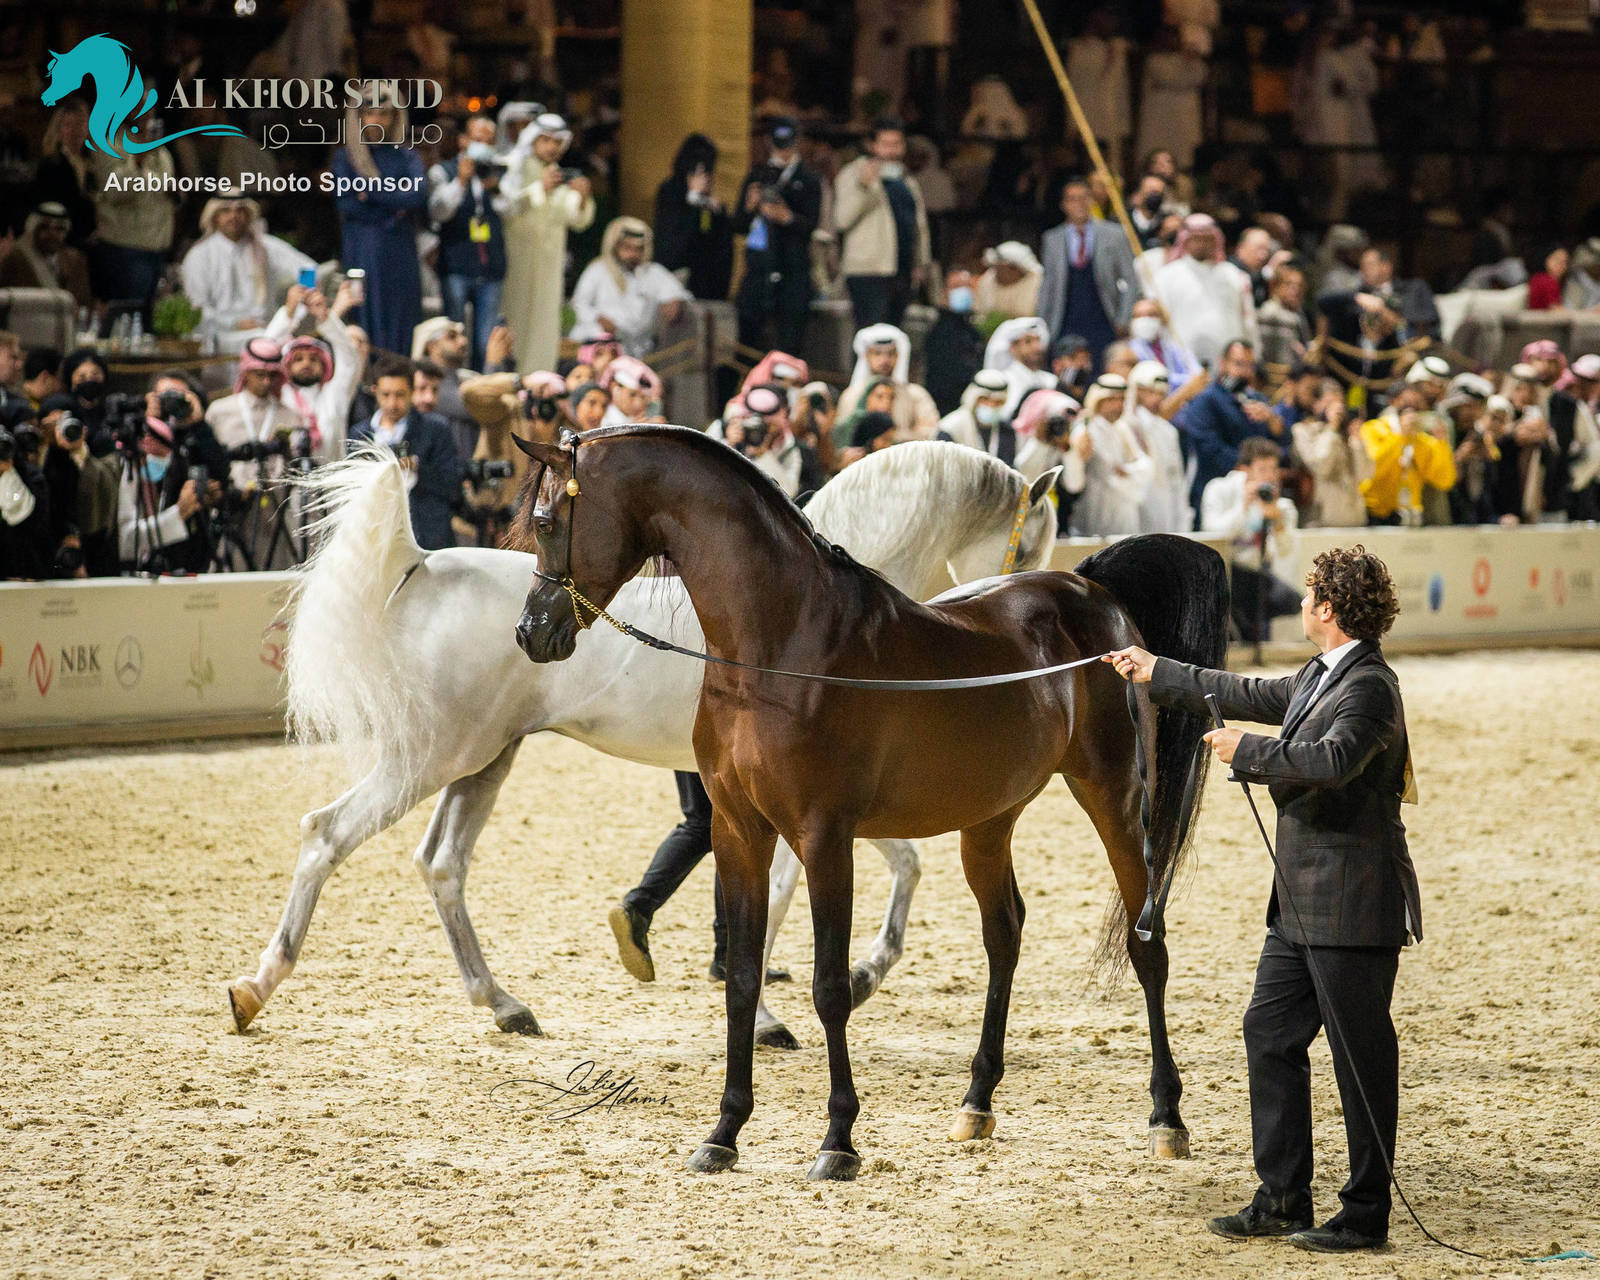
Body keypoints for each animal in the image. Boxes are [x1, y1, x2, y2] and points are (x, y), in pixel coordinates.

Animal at [228, 441, 1063, 1049]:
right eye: (1026, 551)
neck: (810, 610)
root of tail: (424, 565)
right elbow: (813, 886)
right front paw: (787, 1008)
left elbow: (898, 866)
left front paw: (856, 976)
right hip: (429, 757)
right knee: (326, 834)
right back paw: (254, 989)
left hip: (485, 760)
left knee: (442, 865)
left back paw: (504, 1005)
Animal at [510, 425, 1228, 1179]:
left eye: (546, 522)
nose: (532, 632)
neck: (782, 642)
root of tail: (1094, 592)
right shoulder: (739, 831)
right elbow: (741, 978)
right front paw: (724, 1132)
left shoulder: (823, 835)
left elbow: (828, 986)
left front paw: (838, 1140)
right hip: (989, 819)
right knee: (1004, 933)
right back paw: (976, 1104)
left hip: (1113, 796)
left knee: (1146, 943)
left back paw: (1167, 1117)